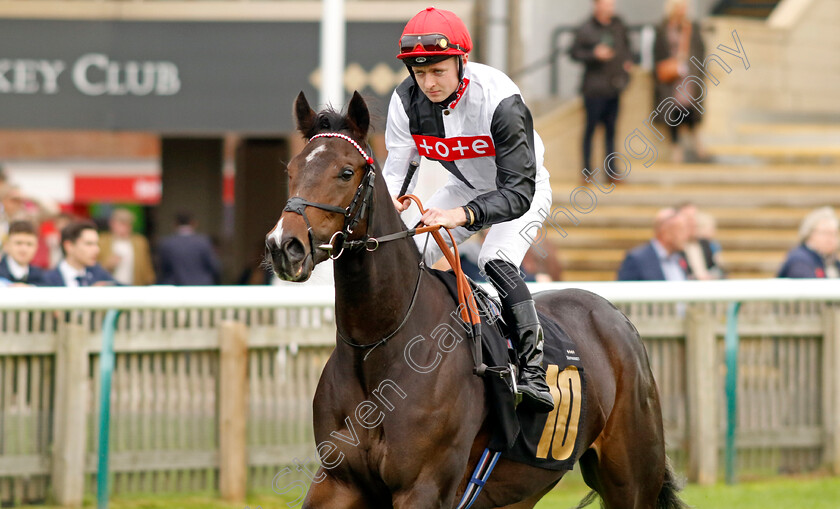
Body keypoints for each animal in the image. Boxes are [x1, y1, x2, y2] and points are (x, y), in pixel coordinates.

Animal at [266, 91, 684, 508]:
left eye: (345, 172)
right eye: (291, 170)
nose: (283, 246)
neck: (379, 344)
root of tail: (617, 317)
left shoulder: (423, 487)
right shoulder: (338, 482)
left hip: (630, 479)